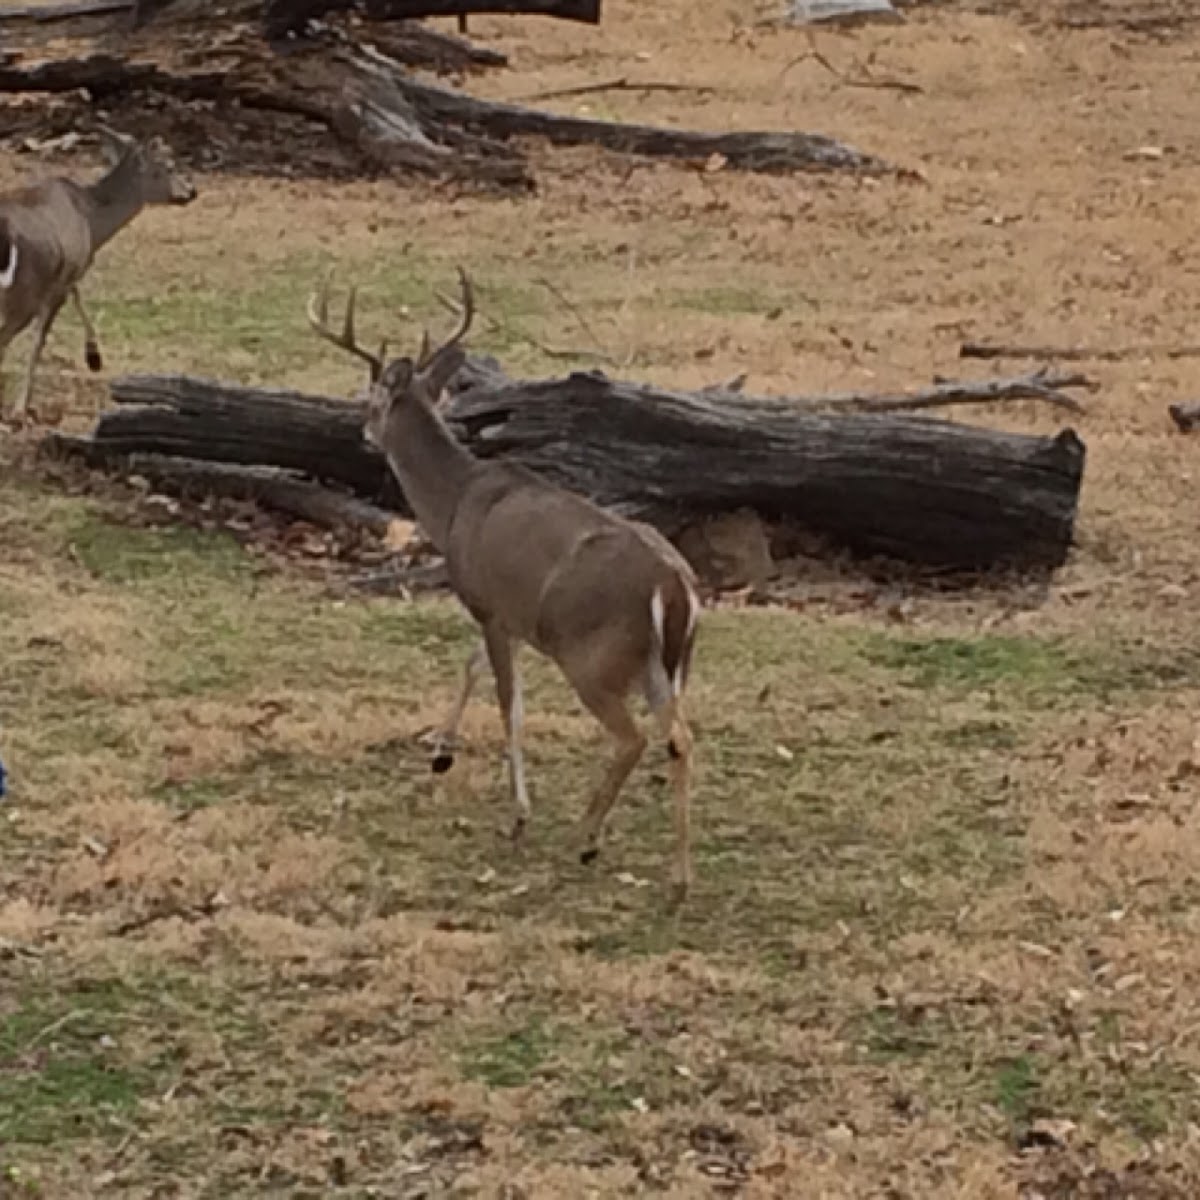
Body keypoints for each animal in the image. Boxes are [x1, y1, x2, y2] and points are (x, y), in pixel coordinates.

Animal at [0, 126, 194, 424]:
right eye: (169, 166)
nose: (191, 191)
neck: (92, 224)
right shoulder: (58, 280)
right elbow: (39, 339)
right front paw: (22, 408)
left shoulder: (69, 274)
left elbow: (76, 298)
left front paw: (94, 356)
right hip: (23, 289)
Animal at [309, 272, 700, 902]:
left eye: (369, 400)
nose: (362, 431)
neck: (453, 505)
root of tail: (674, 587)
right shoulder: (504, 611)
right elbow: (470, 666)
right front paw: (440, 754)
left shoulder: (488, 604)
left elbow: (508, 704)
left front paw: (518, 814)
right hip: (665, 665)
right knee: (680, 739)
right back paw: (679, 876)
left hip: (592, 655)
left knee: (633, 739)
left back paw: (586, 838)